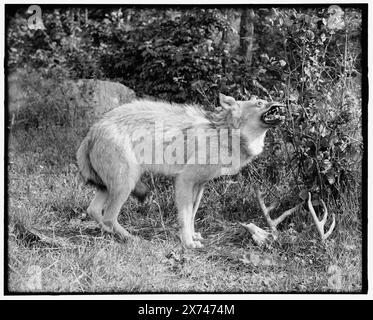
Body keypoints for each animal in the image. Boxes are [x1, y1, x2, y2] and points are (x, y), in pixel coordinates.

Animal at [76, 92, 284, 248]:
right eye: (259, 103)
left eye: (266, 99)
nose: (280, 104)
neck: (224, 135)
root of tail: (92, 131)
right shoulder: (185, 181)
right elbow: (184, 216)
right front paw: (188, 243)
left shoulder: (199, 186)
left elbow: (191, 215)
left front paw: (193, 236)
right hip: (125, 185)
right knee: (109, 217)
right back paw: (133, 239)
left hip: (111, 187)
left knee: (94, 211)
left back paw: (109, 235)